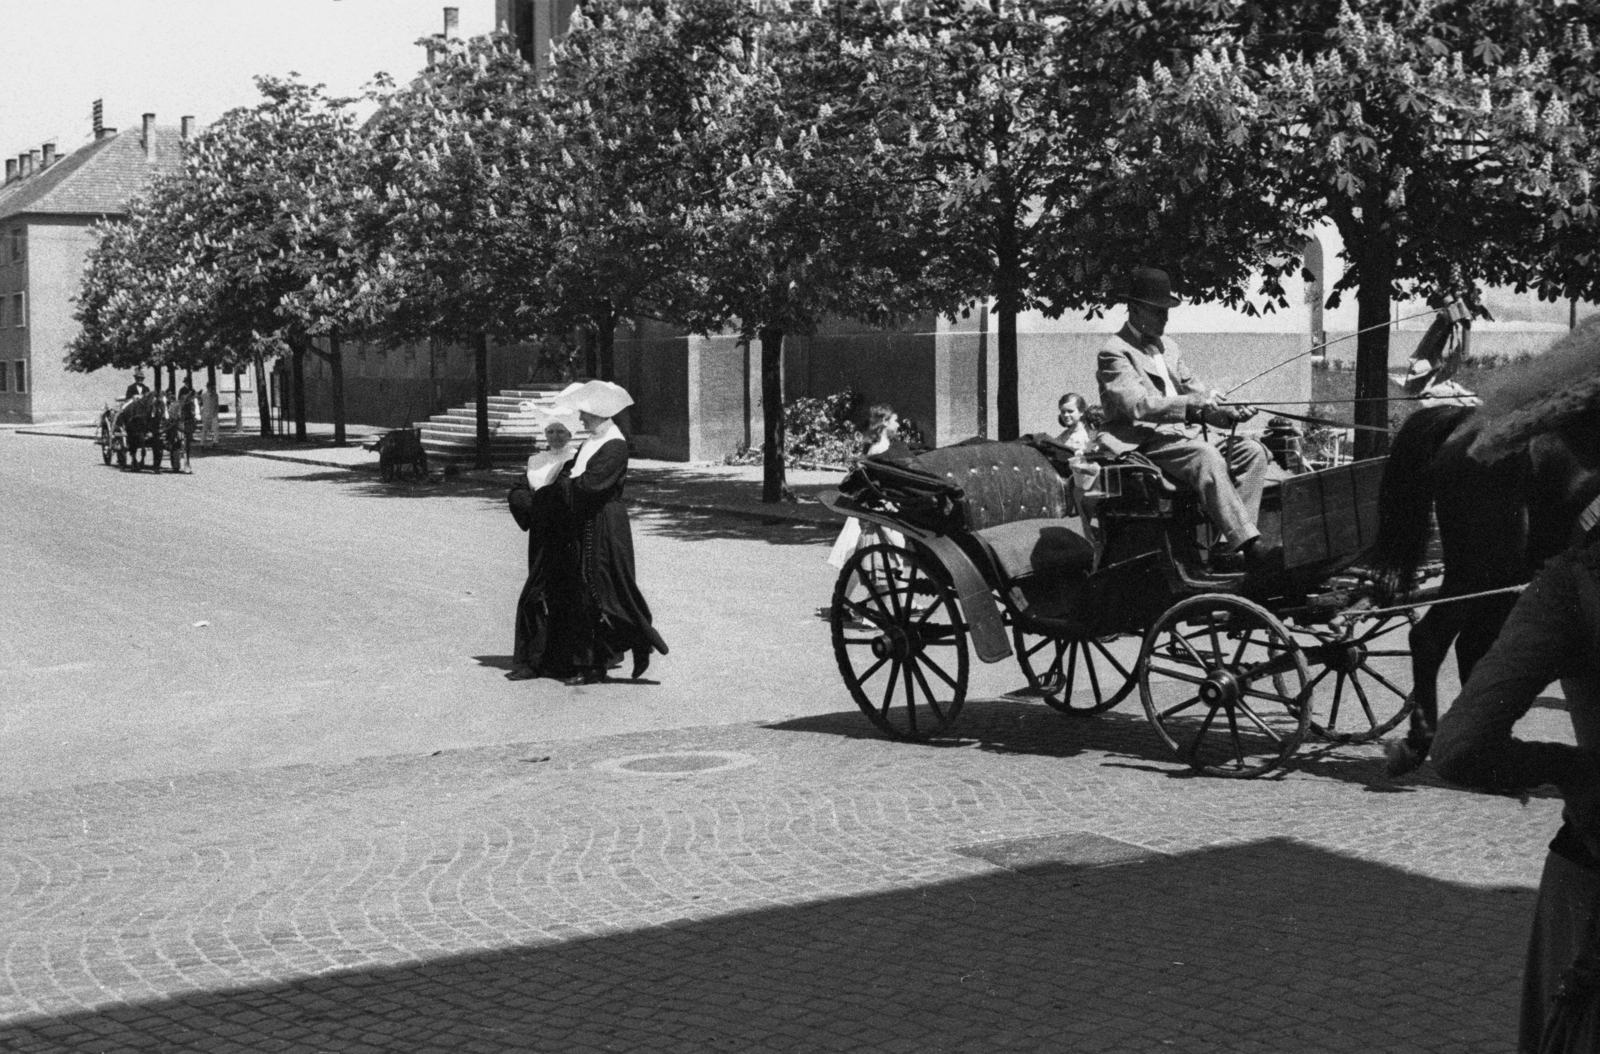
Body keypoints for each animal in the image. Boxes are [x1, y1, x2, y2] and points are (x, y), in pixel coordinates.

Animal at [1363, 321, 1600, 774]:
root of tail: (1468, 422)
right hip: (1488, 565)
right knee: (1435, 639)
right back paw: (1429, 741)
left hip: (1506, 571)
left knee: (1471, 644)